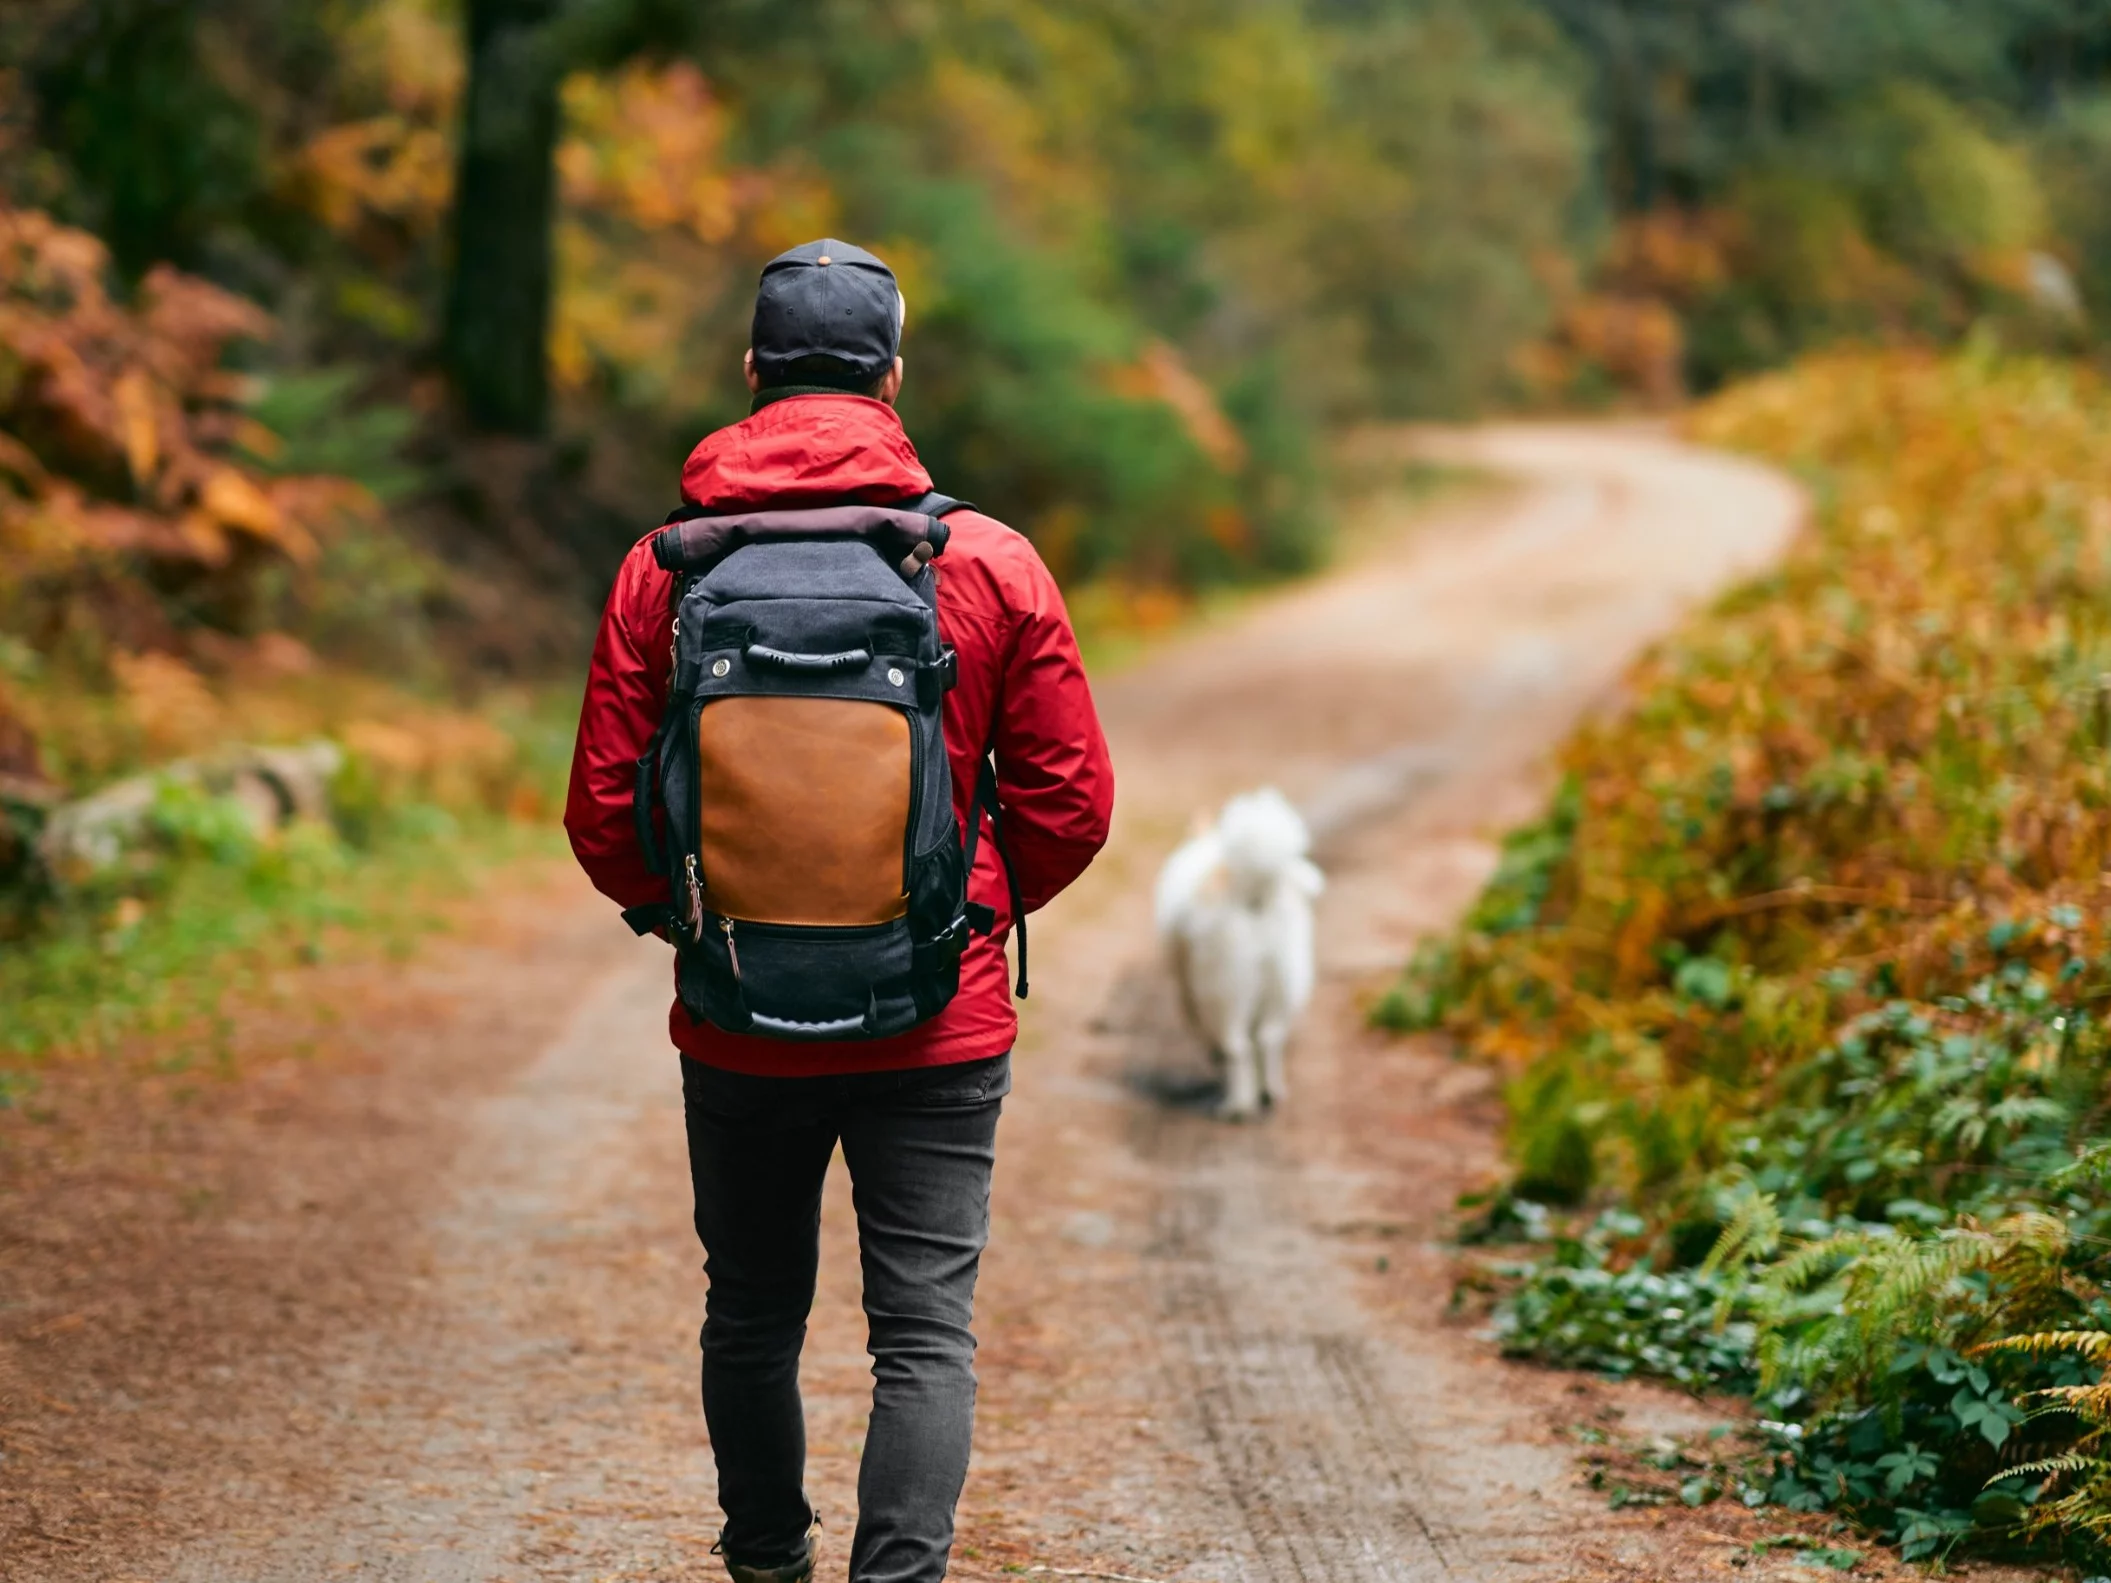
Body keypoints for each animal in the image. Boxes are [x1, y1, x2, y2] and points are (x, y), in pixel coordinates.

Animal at [1156, 789, 1317, 1114]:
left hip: (1225, 994)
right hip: (1282, 980)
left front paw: (1216, 1059)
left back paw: (1237, 1106)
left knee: (1237, 1046)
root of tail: (1254, 890)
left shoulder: (1189, 990)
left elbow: (1206, 1033)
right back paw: (1269, 1093)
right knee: (1269, 1039)